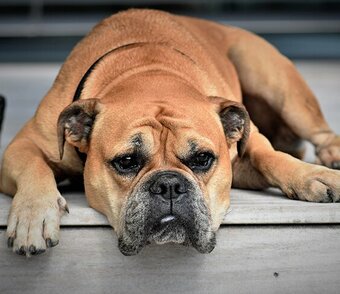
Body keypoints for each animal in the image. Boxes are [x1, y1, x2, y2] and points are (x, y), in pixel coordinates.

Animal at [1, 9, 338, 258]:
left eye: (202, 159)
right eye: (126, 162)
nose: (169, 185)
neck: (149, 73)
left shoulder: (247, 149)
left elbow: (271, 157)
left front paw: (312, 176)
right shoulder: (22, 145)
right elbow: (33, 166)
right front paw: (33, 216)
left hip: (277, 83)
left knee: (318, 132)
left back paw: (330, 156)